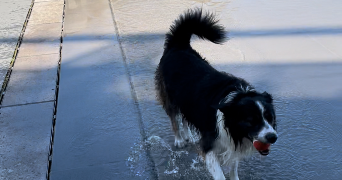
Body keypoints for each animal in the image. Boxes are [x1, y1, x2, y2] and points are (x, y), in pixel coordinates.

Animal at [155, 8, 278, 180]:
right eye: (250, 121)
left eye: (270, 117)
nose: (272, 137)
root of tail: (178, 45)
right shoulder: (209, 145)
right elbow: (219, 173)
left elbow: (234, 166)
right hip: (170, 96)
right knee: (174, 117)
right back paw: (179, 139)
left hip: (186, 99)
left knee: (185, 117)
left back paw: (189, 135)